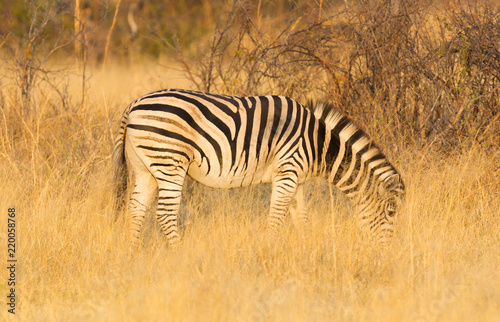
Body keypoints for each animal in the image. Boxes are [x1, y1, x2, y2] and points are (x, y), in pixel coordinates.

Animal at [111, 88, 404, 249]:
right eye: (391, 213)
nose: (385, 254)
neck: (318, 144)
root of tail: (133, 105)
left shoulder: (296, 178)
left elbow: (301, 217)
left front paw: (305, 248)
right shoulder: (288, 170)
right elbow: (276, 216)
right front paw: (271, 250)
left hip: (145, 167)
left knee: (136, 209)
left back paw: (133, 253)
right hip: (170, 160)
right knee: (165, 214)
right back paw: (179, 253)